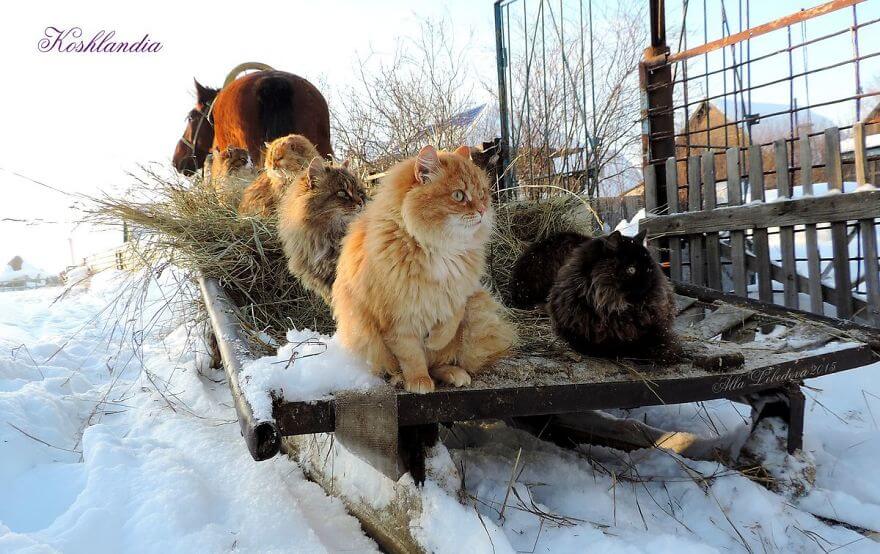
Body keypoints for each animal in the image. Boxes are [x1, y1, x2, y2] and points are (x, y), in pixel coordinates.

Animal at [332, 143, 516, 392]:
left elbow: (449, 324)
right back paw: (402, 378)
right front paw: (418, 381)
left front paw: (435, 340)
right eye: (459, 195)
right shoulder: (398, 318)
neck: (439, 247)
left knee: (440, 363)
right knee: (399, 367)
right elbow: (412, 356)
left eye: (482, 195)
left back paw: (454, 373)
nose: (481, 210)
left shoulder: (460, 294)